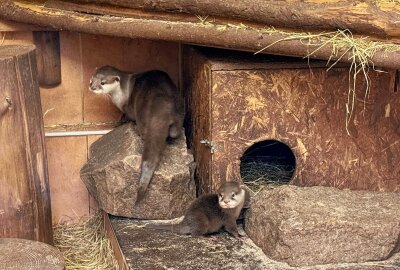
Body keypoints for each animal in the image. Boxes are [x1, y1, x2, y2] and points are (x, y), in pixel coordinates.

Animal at [89, 66, 184, 204]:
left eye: (103, 82)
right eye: (92, 78)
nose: (92, 87)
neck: (121, 93)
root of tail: (161, 105)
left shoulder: (126, 108)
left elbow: (126, 116)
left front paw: (119, 122)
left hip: (141, 114)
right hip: (179, 108)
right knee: (175, 131)